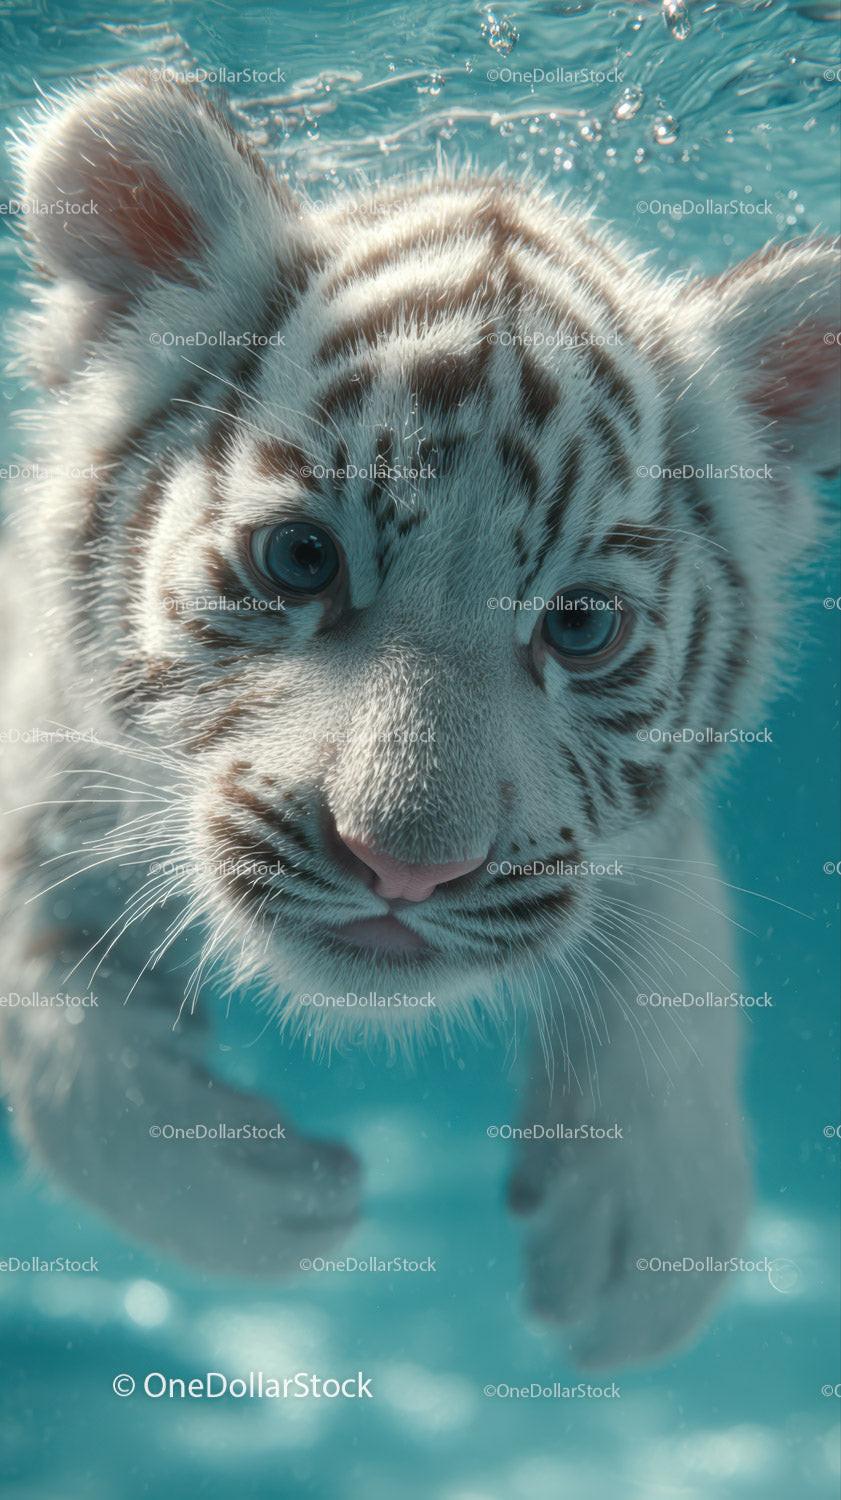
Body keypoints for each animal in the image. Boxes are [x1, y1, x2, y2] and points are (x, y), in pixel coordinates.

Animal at [0, 70, 837, 1368]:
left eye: (581, 625)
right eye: (299, 559)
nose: (405, 869)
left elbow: (675, 957)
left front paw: (646, 1253)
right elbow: (53, 1037)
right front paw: (280, 1200)